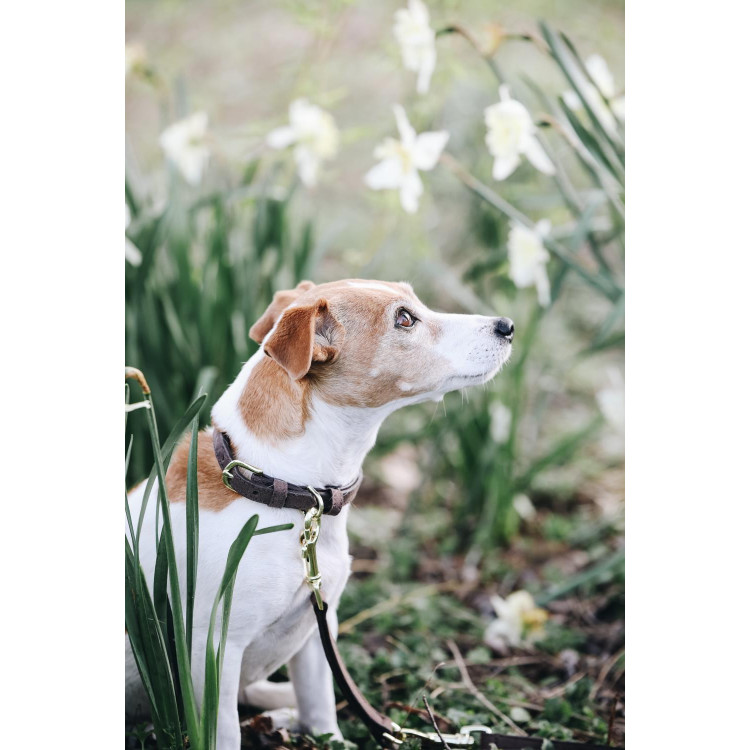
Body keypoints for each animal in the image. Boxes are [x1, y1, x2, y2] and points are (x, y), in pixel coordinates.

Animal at [128, 282, 516, 750]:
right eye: (404, 319)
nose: (507, 325)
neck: (282, 490)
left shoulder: (317, 625)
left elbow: (320, 709)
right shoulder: (215, 649)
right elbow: (225, 731)